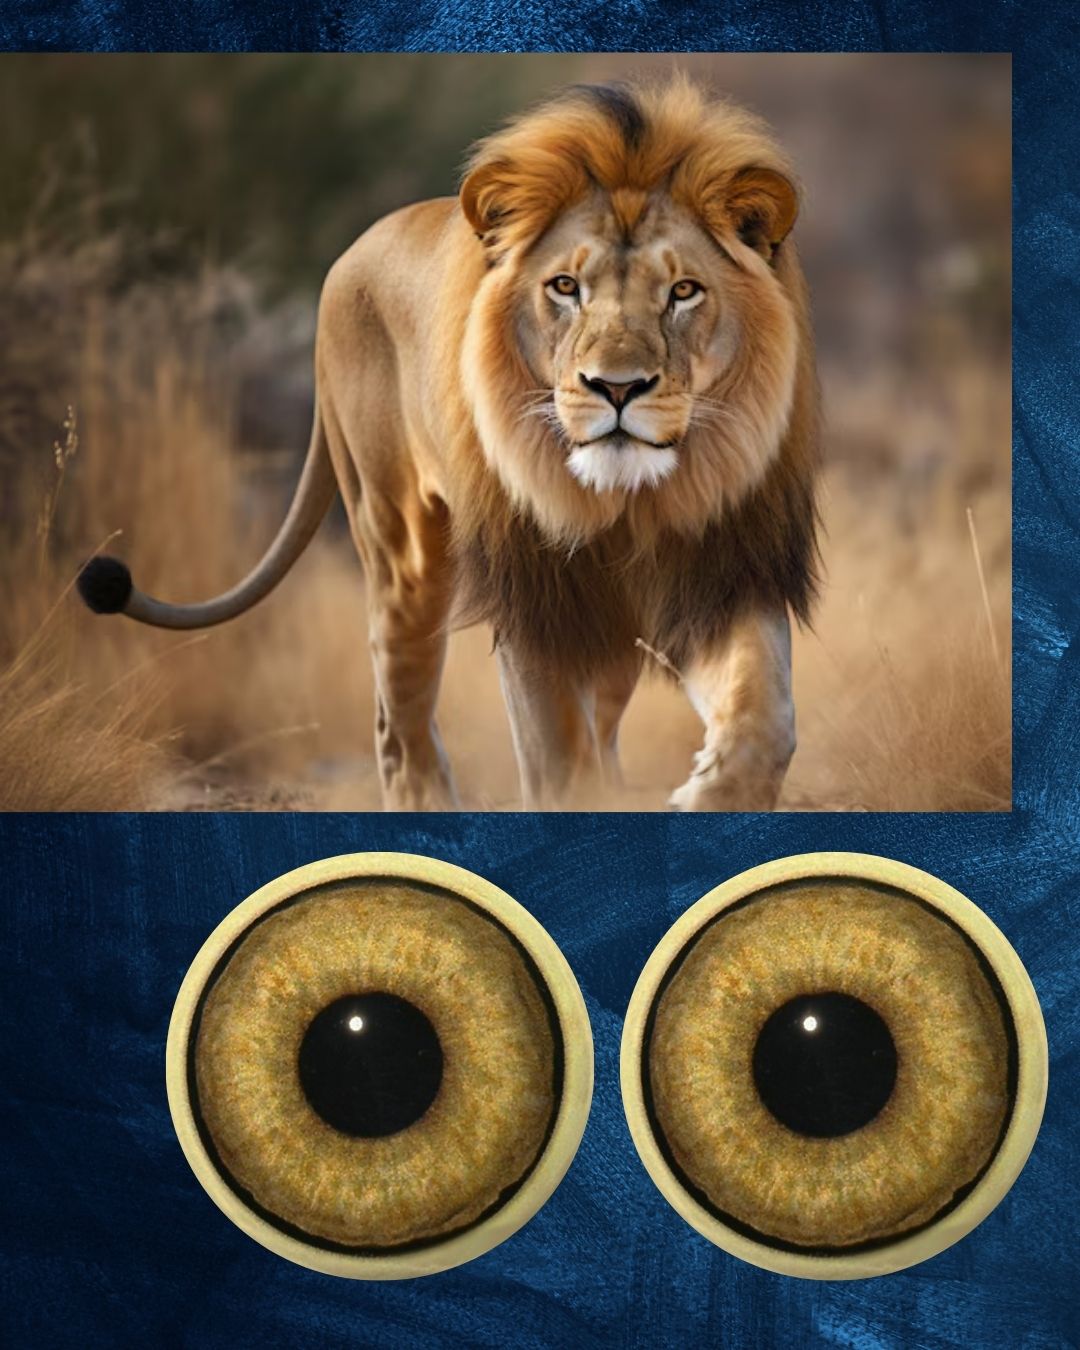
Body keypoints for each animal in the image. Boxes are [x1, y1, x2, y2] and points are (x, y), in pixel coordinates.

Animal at [78, 75, 820, 811]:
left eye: (684, 291)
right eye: (565, 287)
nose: (616, 387)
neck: (628, 506)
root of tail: (349, 254)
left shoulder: (726, 570)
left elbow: (764, 719)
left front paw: (709, 794)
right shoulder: (537, 601)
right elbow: (558, 759)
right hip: (399, 538)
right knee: (398, 713)